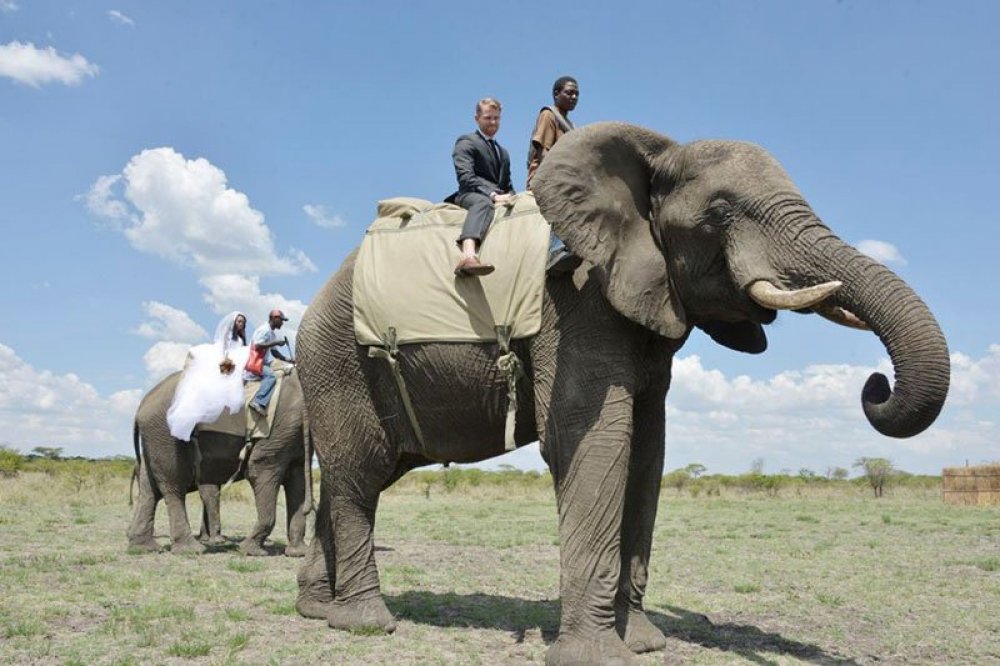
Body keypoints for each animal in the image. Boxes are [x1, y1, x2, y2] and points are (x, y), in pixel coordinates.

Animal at [126, 366, 312, 552]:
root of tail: (141, 405)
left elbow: (297, 479)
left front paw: (298, 552)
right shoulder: (276, 431)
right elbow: (259, 469)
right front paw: (249, 550)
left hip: (155, 438)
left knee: (149, 489)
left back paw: (143, 547)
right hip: (166, 433)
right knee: (173, 485)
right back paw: (191, 549)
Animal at [292, 122, 948, 660]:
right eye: (721, 212)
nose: (875, 383)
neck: (654, 158)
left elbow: (647, 452)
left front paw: (645, 643)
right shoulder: (576, 300)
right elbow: (594, 442)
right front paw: (597, 655)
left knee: (355, 475)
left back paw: (317, 611)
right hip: (338, 361)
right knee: (360, 474)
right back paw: (365, 624)